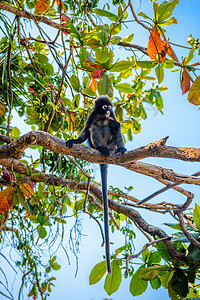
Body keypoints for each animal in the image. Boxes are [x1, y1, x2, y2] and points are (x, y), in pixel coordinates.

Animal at [66, 95, 126, 274]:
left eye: (109, 107)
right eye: (104, 106)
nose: (108, 110)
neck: (102, 116)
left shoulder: (112, 115)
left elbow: (116, 124)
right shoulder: (93, 115)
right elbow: (87, 129)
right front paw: (76, 140)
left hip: (112, 144)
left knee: (115, 127)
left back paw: (120, 149)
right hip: (97, 144)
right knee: (93, 129)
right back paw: (101, 148)